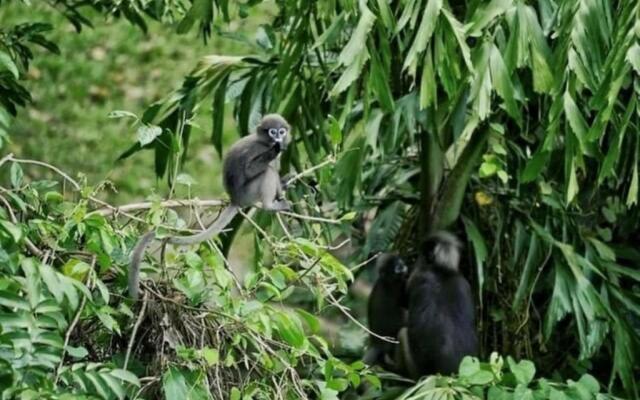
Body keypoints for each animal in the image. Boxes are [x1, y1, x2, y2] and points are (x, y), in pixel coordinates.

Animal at [129, 114, 292, 298]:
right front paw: (274, 152)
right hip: (249, 192)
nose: (278, 138)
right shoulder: (258, 149)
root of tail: (236, 199)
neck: (264, 141)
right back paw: (269, 205)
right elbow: (251, 169)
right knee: (268, 171)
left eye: (281, 131)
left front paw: (283, 185)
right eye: (272, 132)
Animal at [398, 231, 478, 378]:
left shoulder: (417, 276)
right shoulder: (464, 283)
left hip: (416, 369)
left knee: (402, 332)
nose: (417, 259)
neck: (442, 270)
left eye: (422, 254)